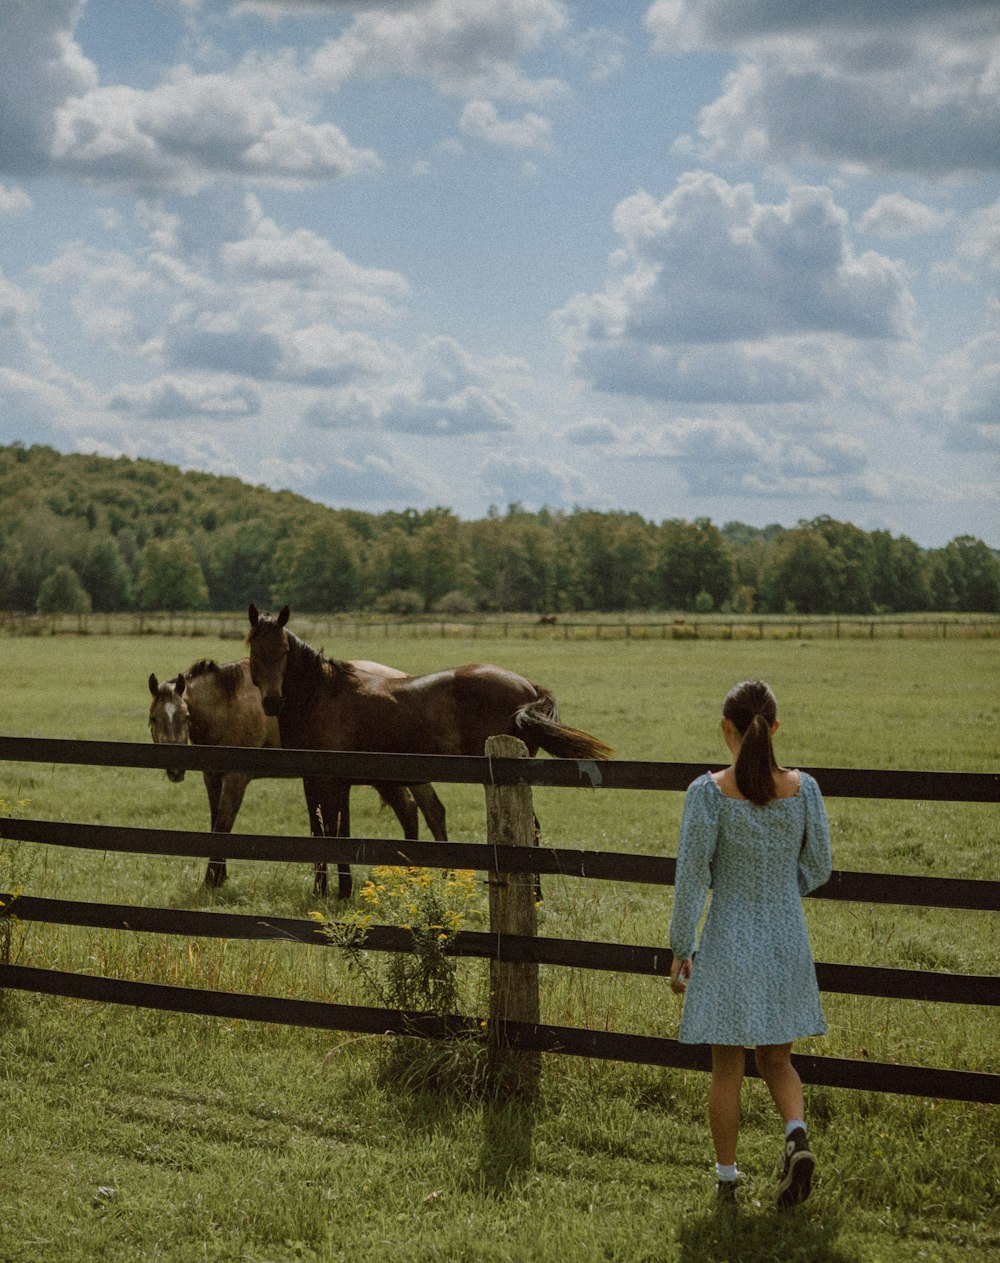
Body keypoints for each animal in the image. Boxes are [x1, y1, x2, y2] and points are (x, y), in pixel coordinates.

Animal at [147, 661, 444, 889]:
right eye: (154, 718)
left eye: (185, 716)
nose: (174, 769)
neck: (228, 703)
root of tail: (402, 677)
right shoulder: (212, 776)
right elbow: (214, 824)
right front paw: (219, 878)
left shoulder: (236, 777)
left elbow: (223, 825)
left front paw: (210, 881)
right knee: (409, 810)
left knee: (431, 810)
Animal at [246, 601, 613, 899]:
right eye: (254, 651)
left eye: (283, 652)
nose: (272, 702)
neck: (321, 695)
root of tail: (528, 687)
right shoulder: (322, 781)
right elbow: (330, 832)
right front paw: (338, 890)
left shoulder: (329, 781)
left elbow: (328, 834)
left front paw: (326, 891)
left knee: (531, 829)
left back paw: (534, 894)